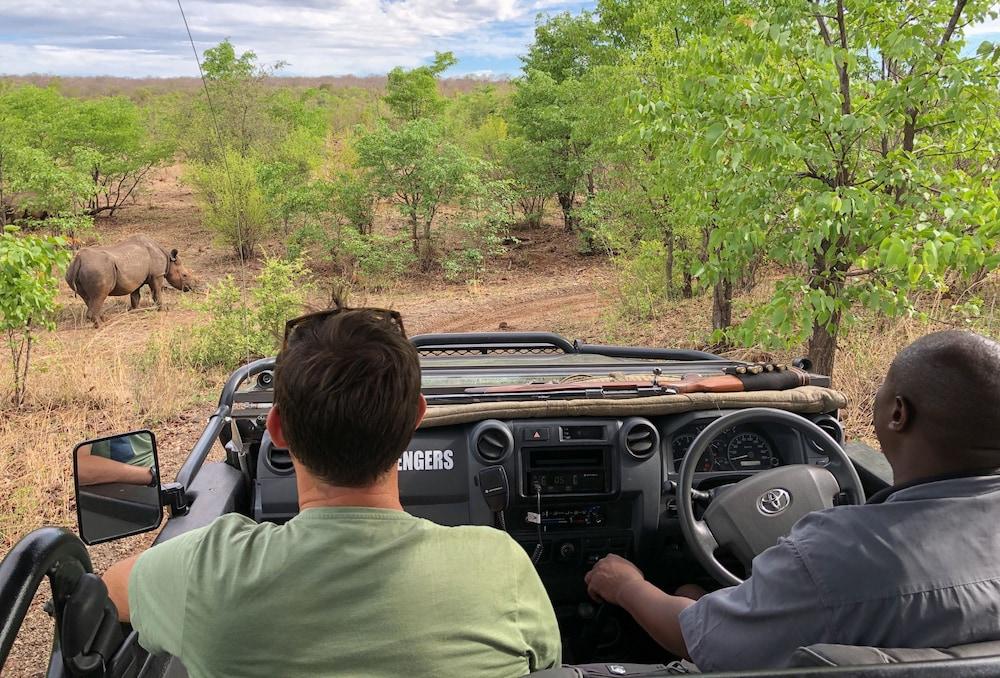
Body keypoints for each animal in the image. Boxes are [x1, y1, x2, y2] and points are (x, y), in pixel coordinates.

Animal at [65, 235, 195, 328]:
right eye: (184, 275)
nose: (190, 287)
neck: (168, 258)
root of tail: (78, 260)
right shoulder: (157, 275)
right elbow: (157, 293)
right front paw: (163, 309)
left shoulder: (136, 279)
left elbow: (135, 296)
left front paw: (134, 310)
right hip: (98, 269)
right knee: (99, 296)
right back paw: (101, 326)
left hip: (71, 272)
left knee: (89, 298)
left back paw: (104, 319)